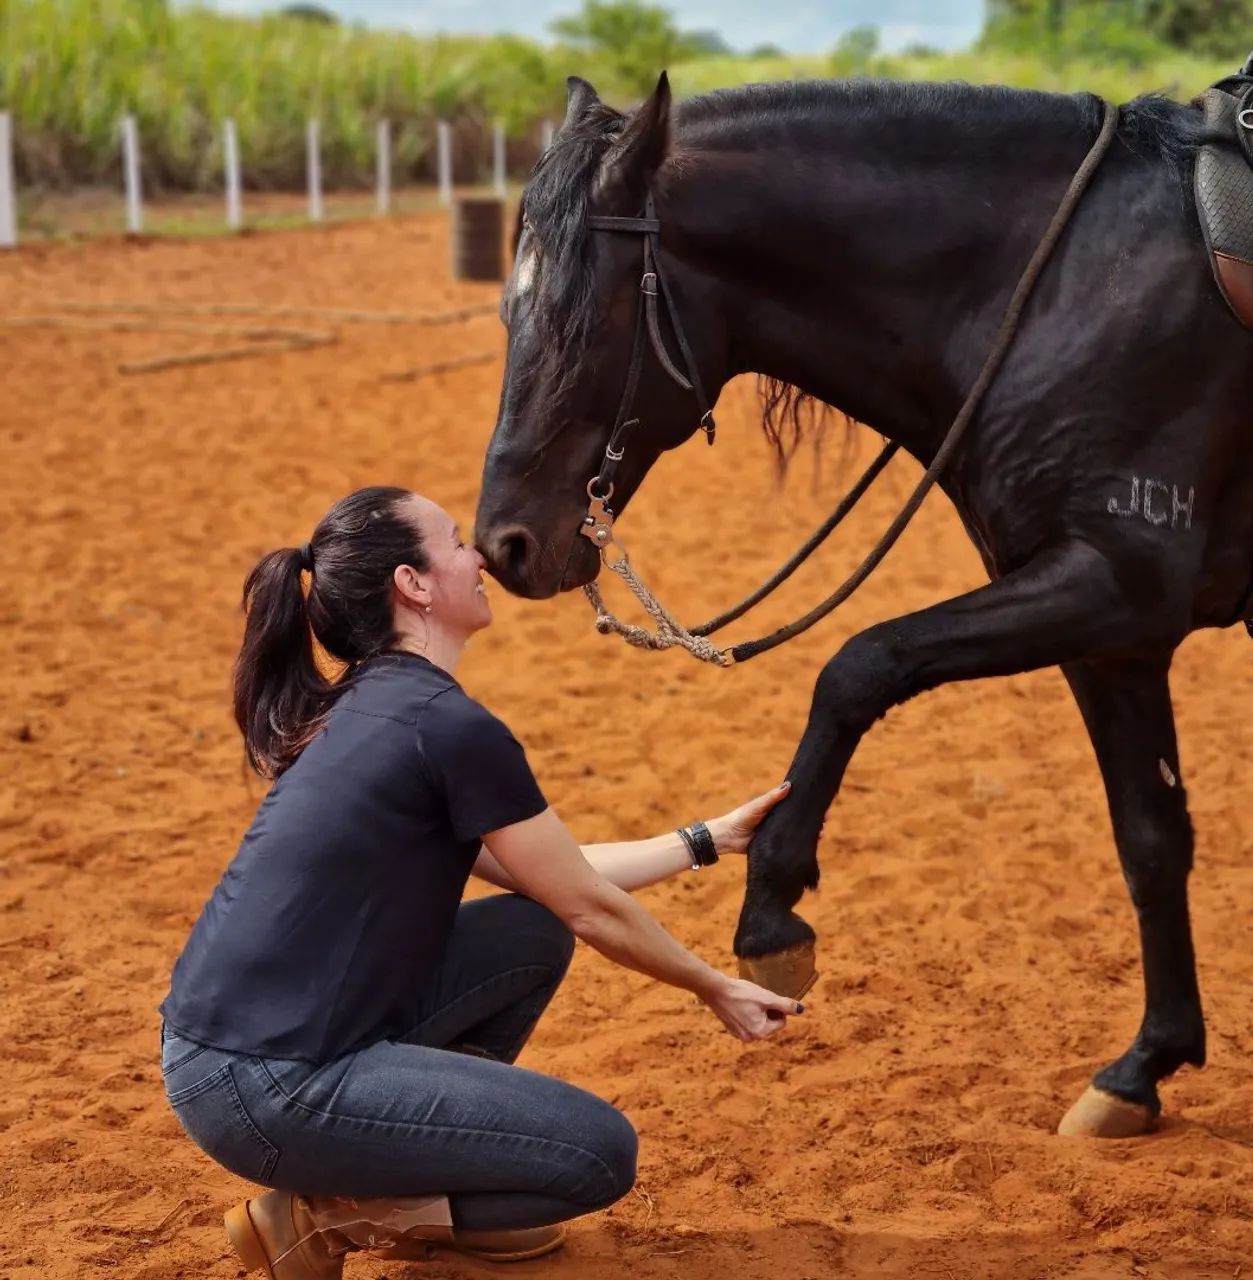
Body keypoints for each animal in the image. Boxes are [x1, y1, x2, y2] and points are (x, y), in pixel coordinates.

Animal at [473, 70, 1253, 1139]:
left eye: (582, 321)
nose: (501, 544)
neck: (1070, 282)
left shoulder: (1111, 581)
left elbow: (858, 664)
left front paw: (770, 911)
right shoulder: (1113, 632)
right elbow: (1150, 838)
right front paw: (1143, 1067)